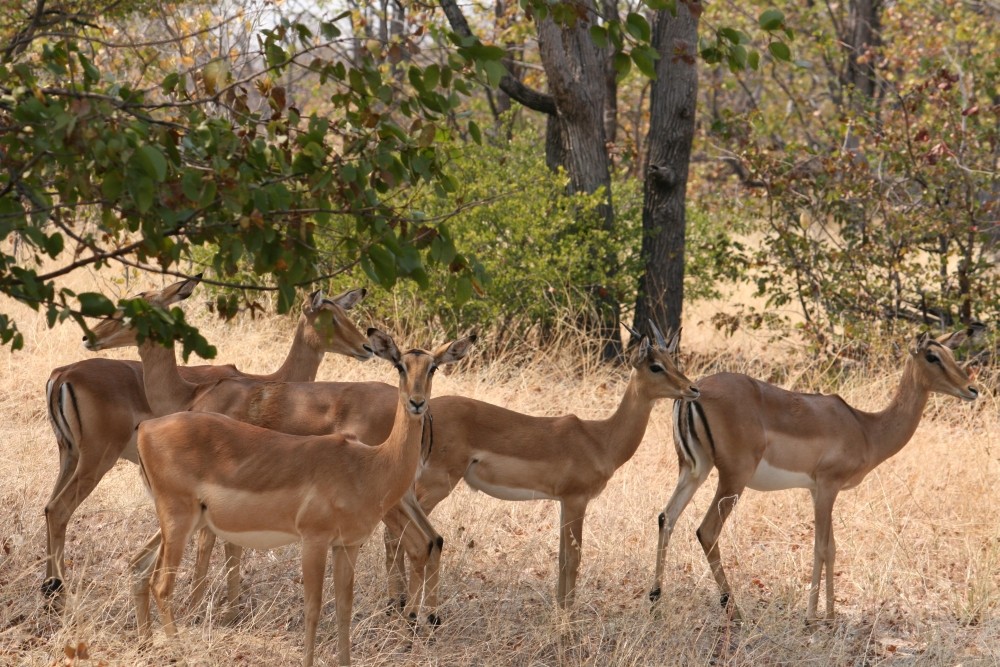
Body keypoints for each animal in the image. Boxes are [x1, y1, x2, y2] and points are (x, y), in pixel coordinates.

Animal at [43, 274, 372, 596]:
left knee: (49, 508)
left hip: (71, 456)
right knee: (59, 509)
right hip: (95, 460)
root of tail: (62, 374)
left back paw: (52, 588)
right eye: (329, 317)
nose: (367, 346)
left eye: (344, 314)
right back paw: (57, 590)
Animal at [133, 328, 476, 667]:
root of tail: (147, 427)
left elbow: (344, 609)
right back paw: (177, 651)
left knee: (142, 568)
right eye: (400, 366)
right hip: (179, 522)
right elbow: (313, 608)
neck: (369, 465)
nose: (417, 403)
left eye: (432, 368)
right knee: (161, 585)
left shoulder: (347, 545)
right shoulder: (314, 539)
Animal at [648, 328, 984, 620]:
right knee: (706, 530)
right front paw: (814, 617)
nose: (972, 389)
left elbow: (831, 548)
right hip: (733, 479)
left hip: (695, 470)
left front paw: (829, 614)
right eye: (932, 356)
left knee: (667, 516)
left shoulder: (815, 490)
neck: (866, 428)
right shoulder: (827, 486)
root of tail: (694, 392)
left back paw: (655, 601)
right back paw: (735, 610)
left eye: (950, 353)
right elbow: (821, 547)